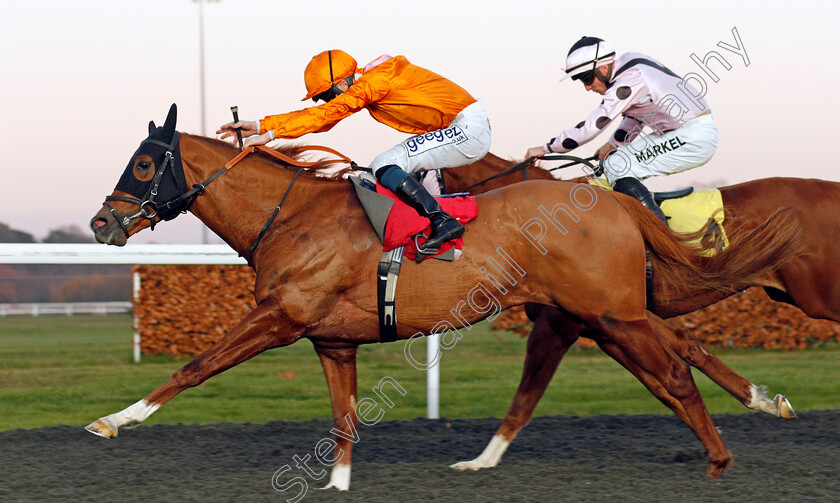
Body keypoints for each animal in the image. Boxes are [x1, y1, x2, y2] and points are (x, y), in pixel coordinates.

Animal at [442, 154, 832, 472]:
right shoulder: (608, 326)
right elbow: (671, 376)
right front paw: (747, 412)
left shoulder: (561, 324)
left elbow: (527, 395)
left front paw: (483, 459)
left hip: (817, 296)